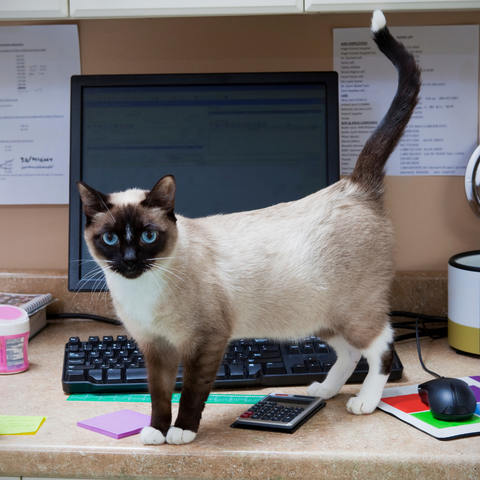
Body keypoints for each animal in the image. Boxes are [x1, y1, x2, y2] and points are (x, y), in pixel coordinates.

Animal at [78, 10, 420, 446]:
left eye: (148, 236)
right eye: (109, 238)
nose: (129, 259)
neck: (142, 290)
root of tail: (354, 184)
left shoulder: (205, 343)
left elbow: (191, 391)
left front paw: (182, 431)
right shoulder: (156, 350)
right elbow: (158, 394)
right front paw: (155, 431)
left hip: (354, 312)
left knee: (381, 347)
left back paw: (365, 401)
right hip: (322, 316)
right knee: (348, 353)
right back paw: (322, 390)